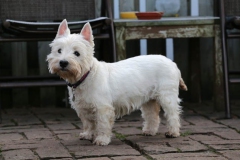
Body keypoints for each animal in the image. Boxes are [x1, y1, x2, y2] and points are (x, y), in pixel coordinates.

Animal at [46, 19, 187, 146]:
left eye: (77, 53)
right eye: (59, 50)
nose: (63, 62)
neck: (84, 77)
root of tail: (172, 63)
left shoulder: (103, 108)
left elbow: (102, 125)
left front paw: (101, 140)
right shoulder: (83, 108)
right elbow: (88, 124)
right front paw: (87, 135)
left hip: (166, 95)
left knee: (173, 113)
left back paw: (173, 132)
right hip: (149, 99)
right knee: (152, 114)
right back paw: (149, 131)